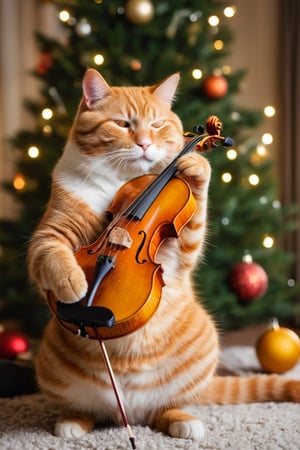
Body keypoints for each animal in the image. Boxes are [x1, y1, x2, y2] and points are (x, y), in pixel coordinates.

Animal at [28, 68, 300, 442]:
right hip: (50, 366)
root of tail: (128, 413)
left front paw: (195, 165)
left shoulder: (183, 250)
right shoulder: (51, 232)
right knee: (85, 410)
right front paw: (76, 285)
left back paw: (183, 421)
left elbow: (195, 218)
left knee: (169, 407)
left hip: (202, 353)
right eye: (123, 124)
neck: (121, 177)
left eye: (157, 125)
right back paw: (73, 422)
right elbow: (51, 254)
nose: (145, 145)